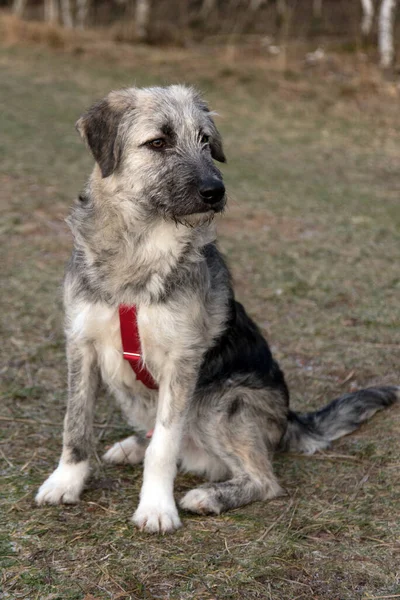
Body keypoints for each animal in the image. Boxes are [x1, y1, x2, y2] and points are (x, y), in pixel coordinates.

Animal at [36, 84, 398, 536]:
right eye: (159, 142)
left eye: (206, 141)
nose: (216, 191)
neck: (140, 250)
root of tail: (289, 419)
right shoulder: (81, 343)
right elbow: (76, 423)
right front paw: (65, 481)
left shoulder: (182, 360)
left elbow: (164, 446)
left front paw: (156, 507)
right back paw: (133, 445)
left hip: (221, 402)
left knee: (263, 479)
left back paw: (210, 495)